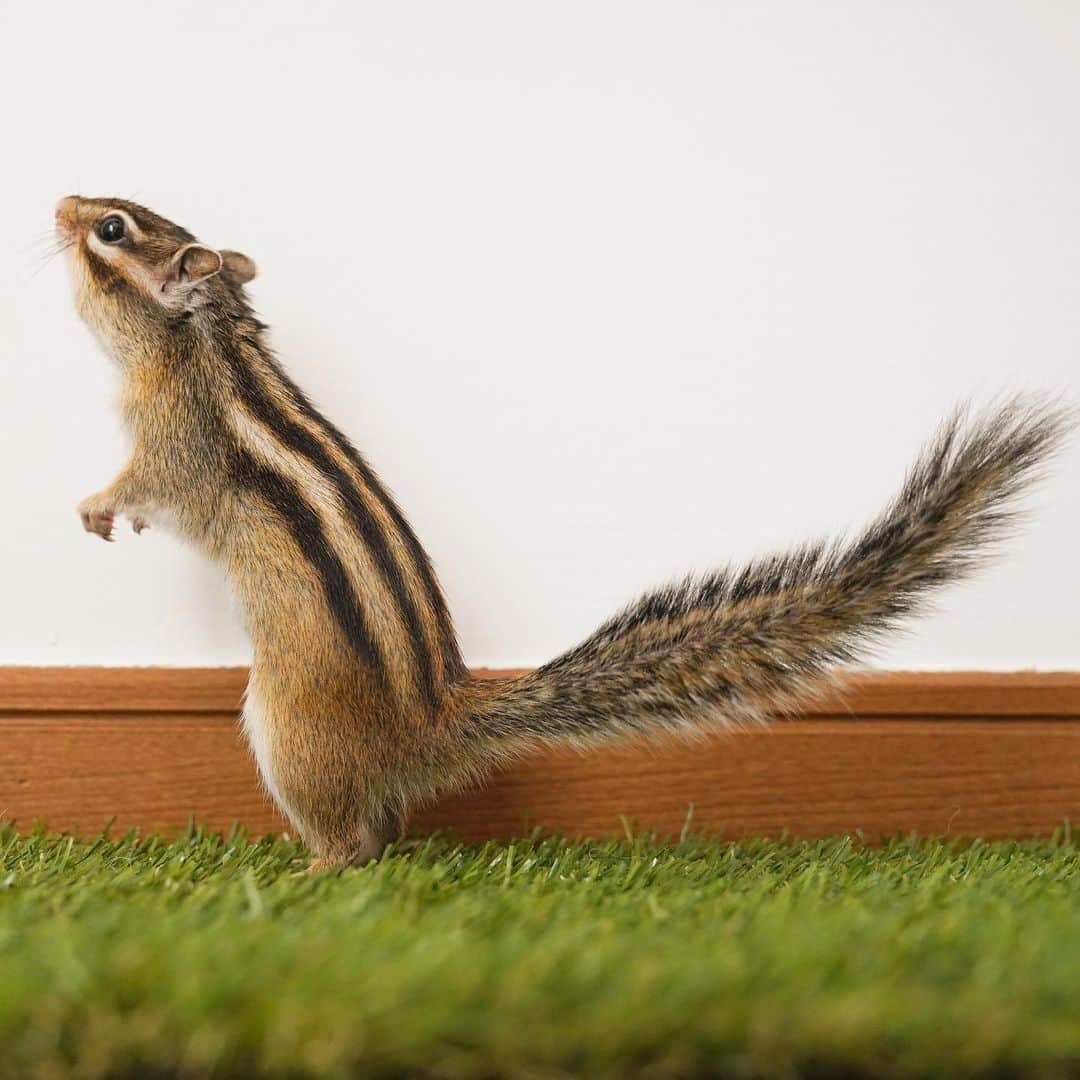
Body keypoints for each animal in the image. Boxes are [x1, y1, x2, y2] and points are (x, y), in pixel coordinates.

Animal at [56, 195, 1073, 871]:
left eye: (113, 229)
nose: (65, 200)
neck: (203, 340)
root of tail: (438, 722)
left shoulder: (173, 439)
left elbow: (149, 482)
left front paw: (97, 508)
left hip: (287, 727)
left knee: (354, 838)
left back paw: (307, 872)